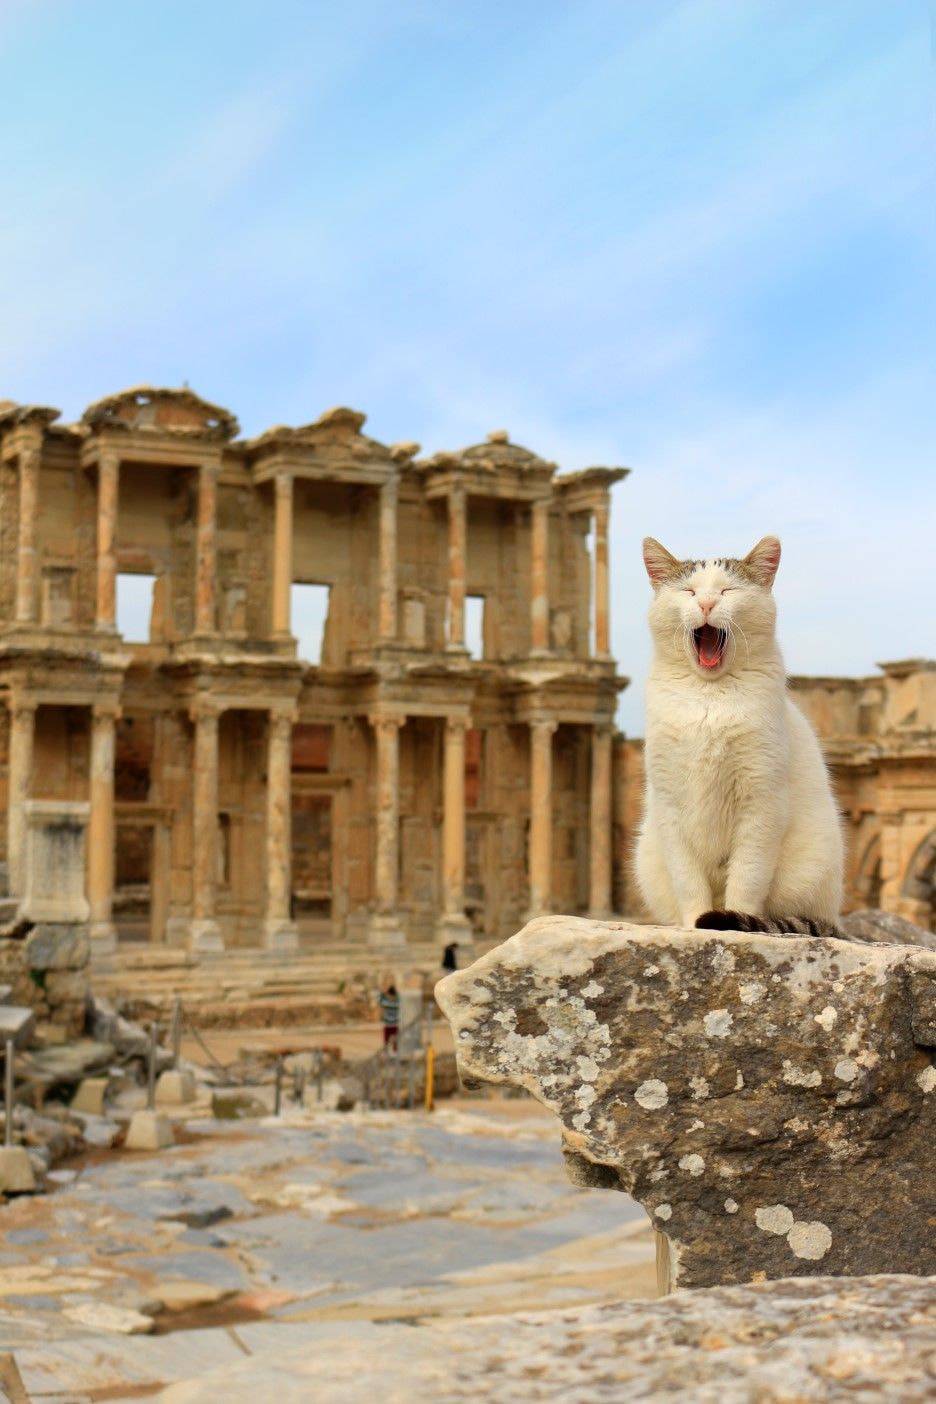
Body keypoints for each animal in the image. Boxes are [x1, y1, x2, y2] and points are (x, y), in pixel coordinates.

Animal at [634, 530, 847, 937]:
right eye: (688, 591)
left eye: (727, 590)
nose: (705, 603)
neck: (708, 697)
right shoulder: (670, 804)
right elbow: (688, 881)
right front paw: (694, 925)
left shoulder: (760, 800)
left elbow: (747, 879)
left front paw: (734, 923)